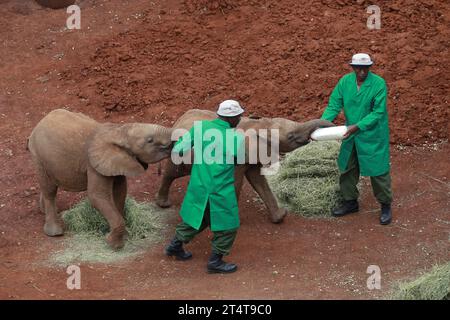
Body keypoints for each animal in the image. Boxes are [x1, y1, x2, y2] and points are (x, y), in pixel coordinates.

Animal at [27, 109, 173, 249]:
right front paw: (113, 244)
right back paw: (55, 232)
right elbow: (97, 196)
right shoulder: (94, 165)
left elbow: (120, 192)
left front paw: (121, 235)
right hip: (38, 156)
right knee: (50, 190)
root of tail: (40, 123)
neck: (119, 131)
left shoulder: (117, 163)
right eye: (150, 140)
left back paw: (45, 211)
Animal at [156, 109, 334, 224]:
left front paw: (280, 217)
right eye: (290, 136)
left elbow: (259, 181)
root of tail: (178, 119)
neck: (261, 124)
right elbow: (236, 183)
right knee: (172, 173)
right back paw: (163, 204)